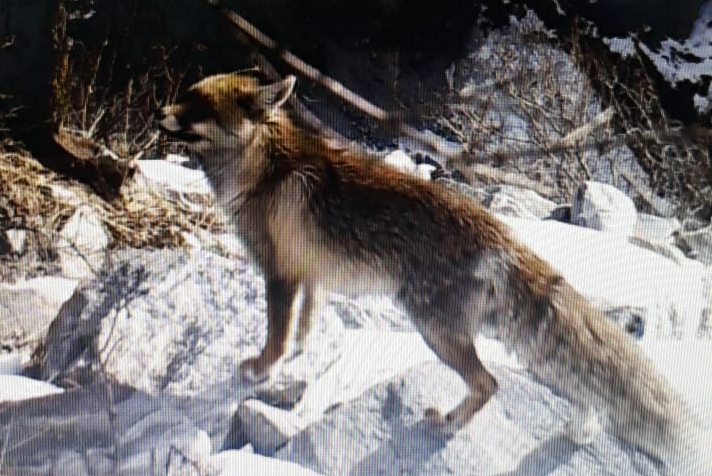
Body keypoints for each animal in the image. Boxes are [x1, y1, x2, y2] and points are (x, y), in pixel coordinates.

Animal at [159, 72, 708, 474]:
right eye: (184, 97)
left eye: (196, 107)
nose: (161, 114)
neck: (263, 168)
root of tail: (500, 234)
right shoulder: (310, 278)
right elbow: (302, 333)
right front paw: (295, 366)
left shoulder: (280, 273)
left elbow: (275, 336)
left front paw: (261, 370)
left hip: (434, 330)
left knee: (488, 384)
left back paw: (446, 425)